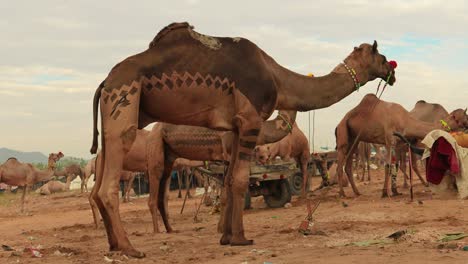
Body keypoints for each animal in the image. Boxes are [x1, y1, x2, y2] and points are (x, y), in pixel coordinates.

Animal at [88, 21, 394, 256]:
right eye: (380, 56)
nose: (392, 70)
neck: (277, 77)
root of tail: (105, 83)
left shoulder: (234, 130)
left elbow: (227, 182)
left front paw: (226, 236)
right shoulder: (249, 121)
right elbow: (239, 179)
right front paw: (240, 238)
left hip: (121, 125)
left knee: (104, 186)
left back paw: (115, 245)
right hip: (124, 102)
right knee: (110, 184)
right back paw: (130, 248)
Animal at [336, 94, 468, 197]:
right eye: (464, 117)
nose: (467, 125)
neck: (405, 120)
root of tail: (339, 123)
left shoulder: (398, 143)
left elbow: (395, 165)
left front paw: (395, 191)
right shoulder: (389, 139)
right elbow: (388, 165)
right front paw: (385, 192)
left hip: (354, 139)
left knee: (348, 165)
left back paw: (357, 192)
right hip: (343, 133)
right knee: (340, 162)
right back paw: (342, 193)